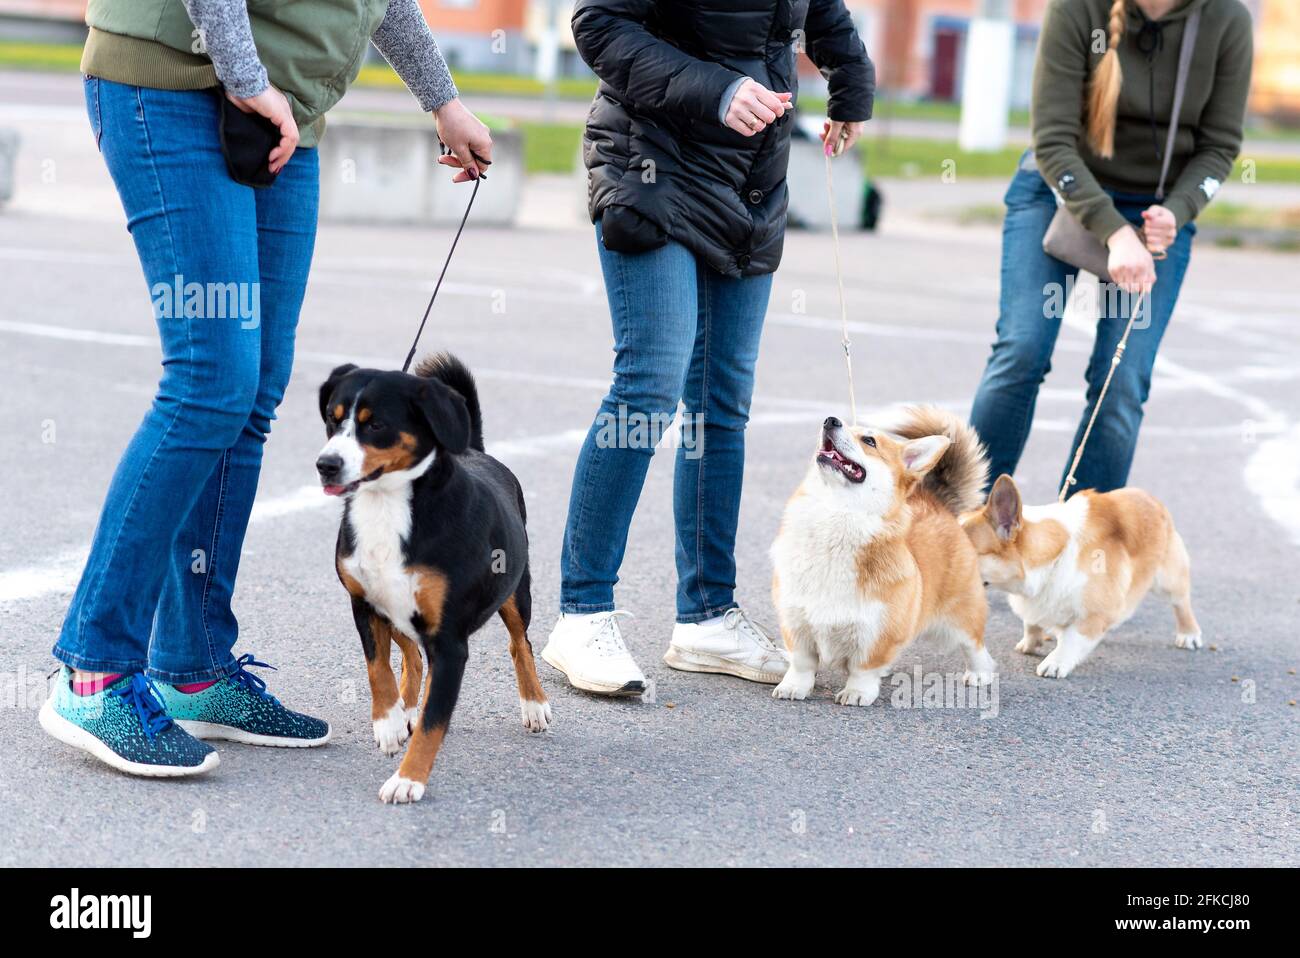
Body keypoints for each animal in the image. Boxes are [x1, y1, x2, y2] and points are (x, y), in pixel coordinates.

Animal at [322, 350, 556, 800]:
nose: (326, 465)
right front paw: (389, 722)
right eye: (332, 418)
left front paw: (408, 780)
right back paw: (405, 708)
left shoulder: (449, 641)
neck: (389, 507)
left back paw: (534, 704)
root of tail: (476, 449)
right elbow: (378, 669)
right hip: (399, 614)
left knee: (520, 644)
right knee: (411, 658)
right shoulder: (365, 605)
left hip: (516, 593)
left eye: (375, 424)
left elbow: (434, 723)